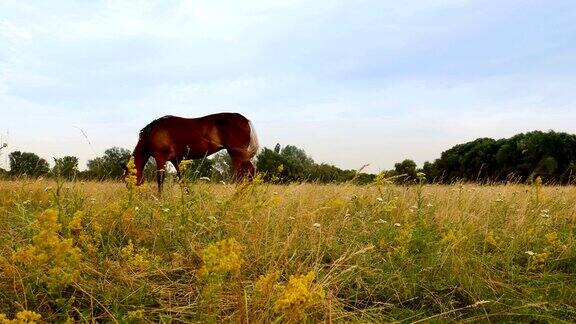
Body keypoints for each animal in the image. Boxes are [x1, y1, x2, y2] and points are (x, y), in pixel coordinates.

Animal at [123, 112, 258, 192]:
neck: (151, 132)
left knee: (246, 173)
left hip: (237, 153)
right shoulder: (176, 160)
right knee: (246, 173)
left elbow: (160, 180)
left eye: (127, 181)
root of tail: (245, 120)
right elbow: (182, 180)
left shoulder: (160, 158)